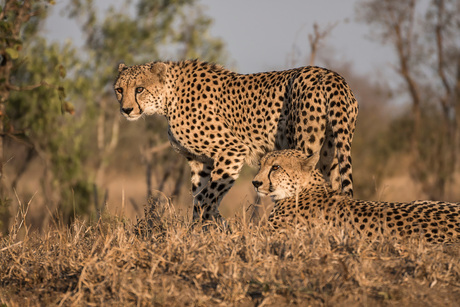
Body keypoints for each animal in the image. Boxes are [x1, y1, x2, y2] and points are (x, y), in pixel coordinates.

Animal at [113, 60, 358, 221]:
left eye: (140, 89)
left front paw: (205, 233)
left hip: (303, 145)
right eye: (119, 90)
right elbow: (200, 197)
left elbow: (208, 199)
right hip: (331, 151)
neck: (168, 97)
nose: (126, 110)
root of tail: (330, 74)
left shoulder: (231, 150)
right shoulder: (200, 161)